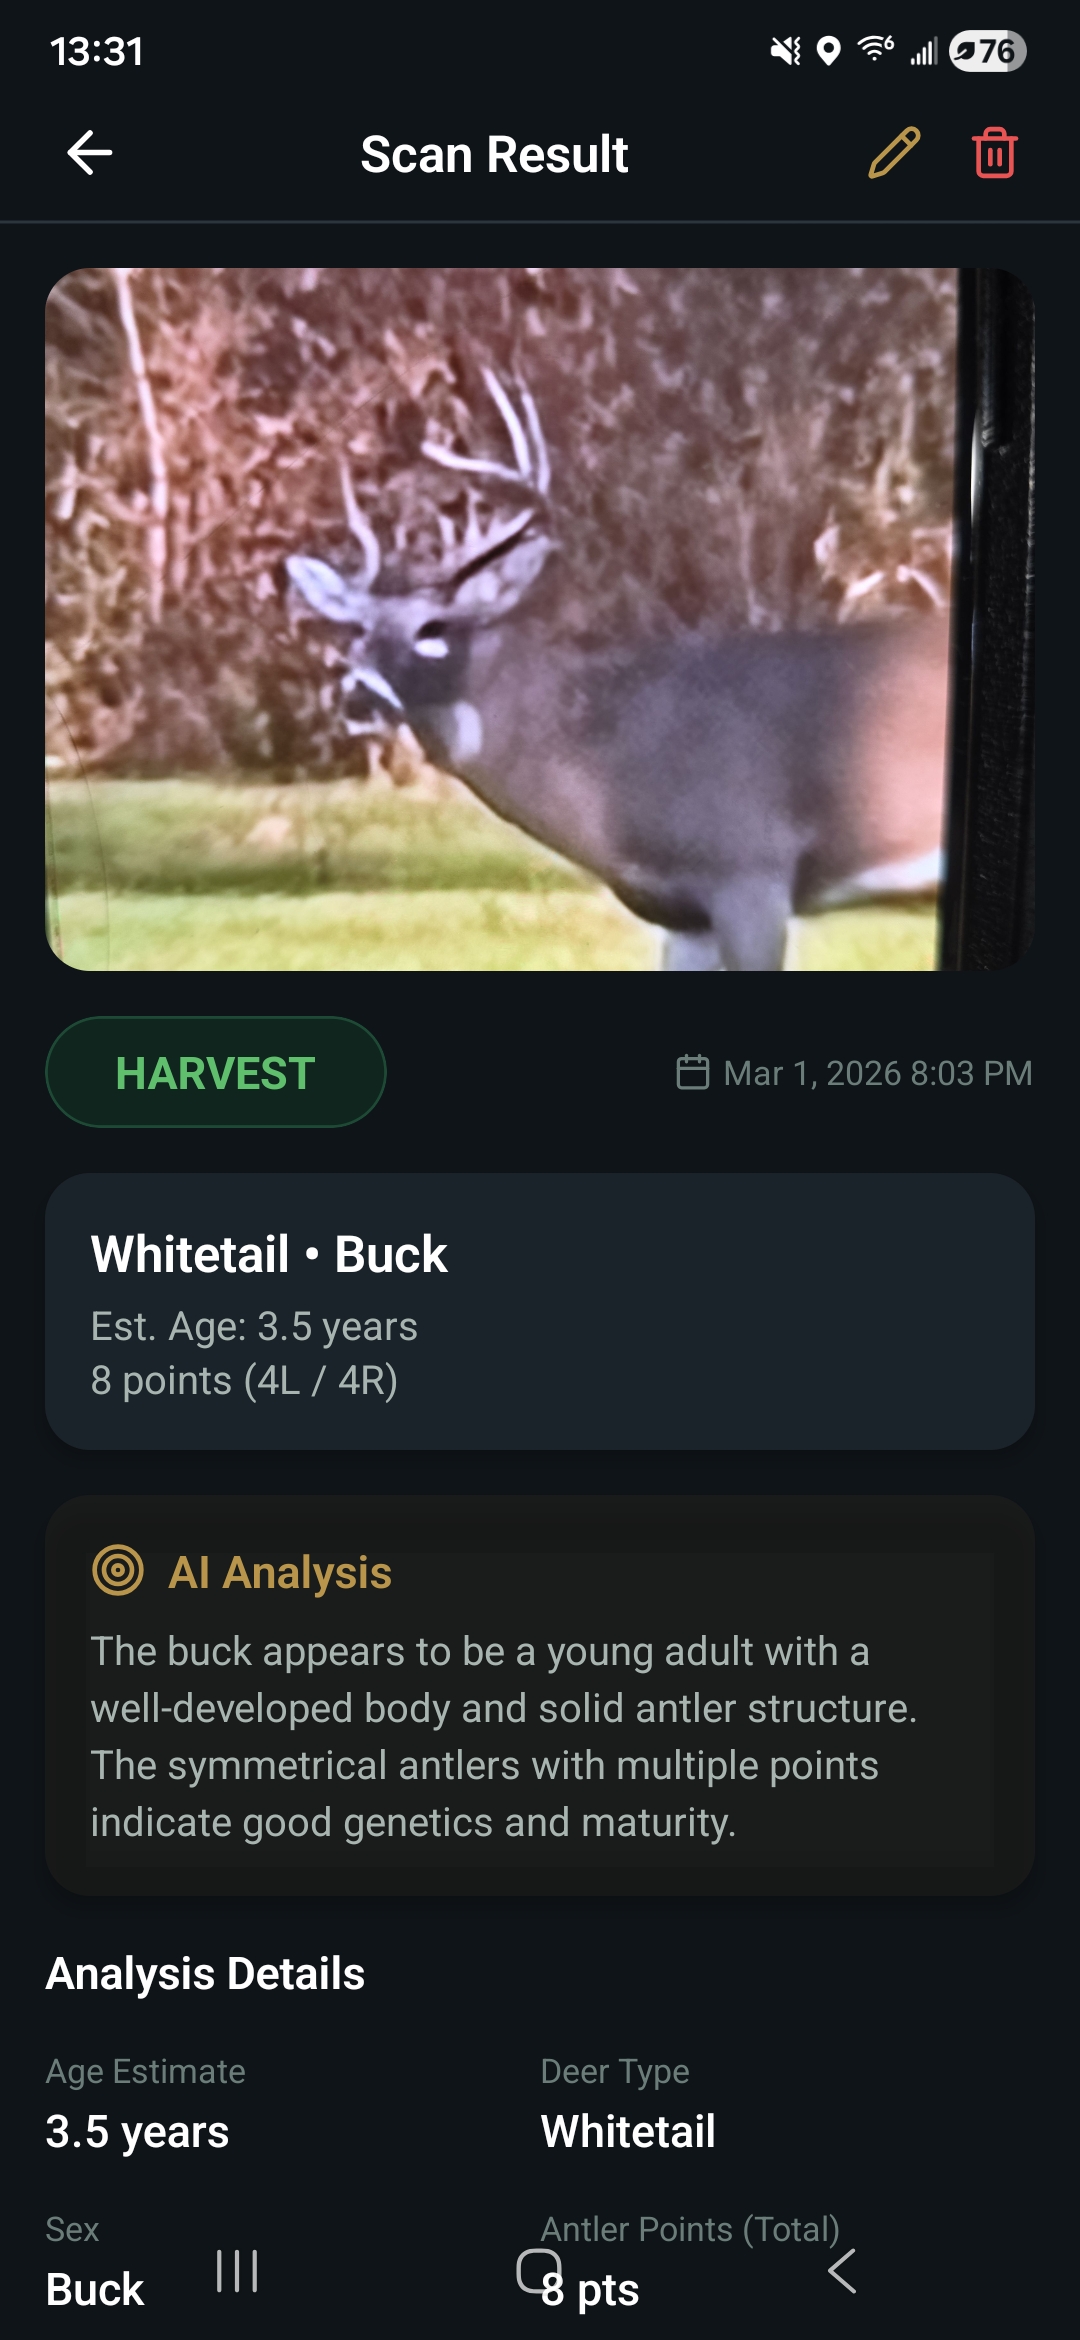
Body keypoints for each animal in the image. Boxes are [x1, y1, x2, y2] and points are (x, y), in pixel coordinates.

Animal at [286, 372, 950, 970]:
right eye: (358, 634)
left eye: (434, 629)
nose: (358, 698)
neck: (613, 766)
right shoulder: (680, 911)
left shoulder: (751, 867)